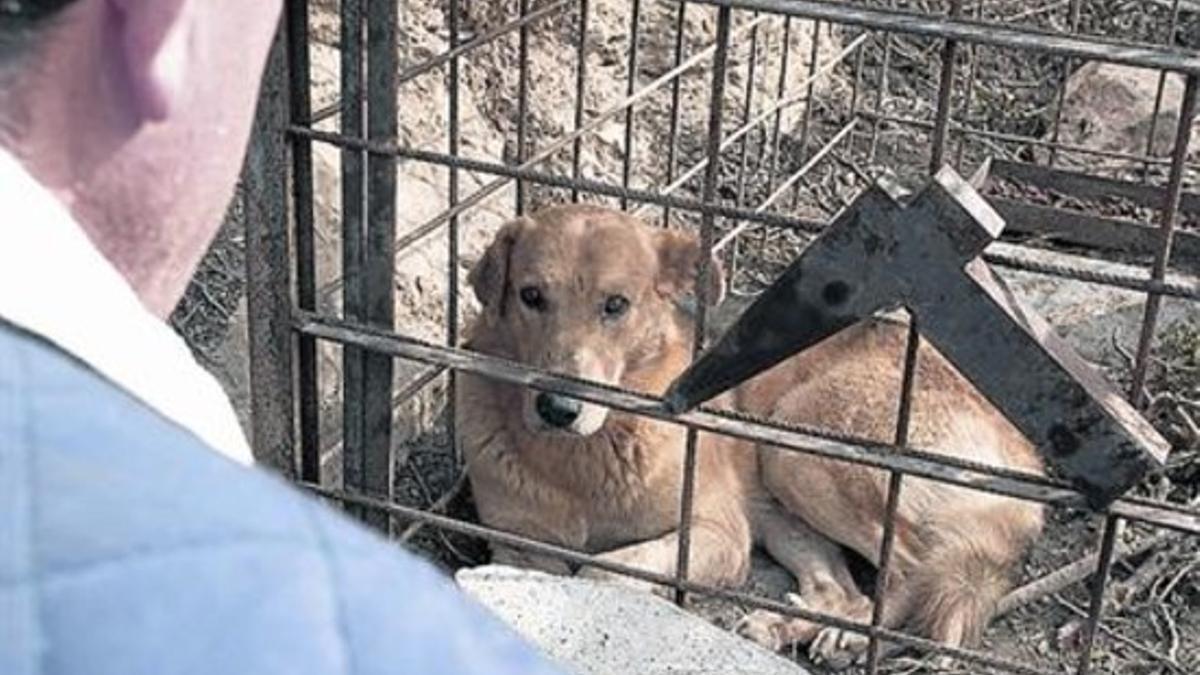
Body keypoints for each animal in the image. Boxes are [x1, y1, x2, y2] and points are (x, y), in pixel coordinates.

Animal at [453, 204, 1046, 662]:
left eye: (615, 305)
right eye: (531, 296)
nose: (557, 408)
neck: (582, 459)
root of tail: (1029, 455)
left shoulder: (716, 533)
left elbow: (604, 573)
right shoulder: (517, 549)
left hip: (804, 446)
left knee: (910, 576)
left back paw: (851, 637)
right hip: (780, 507)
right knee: (844, 590)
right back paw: (784, 626)